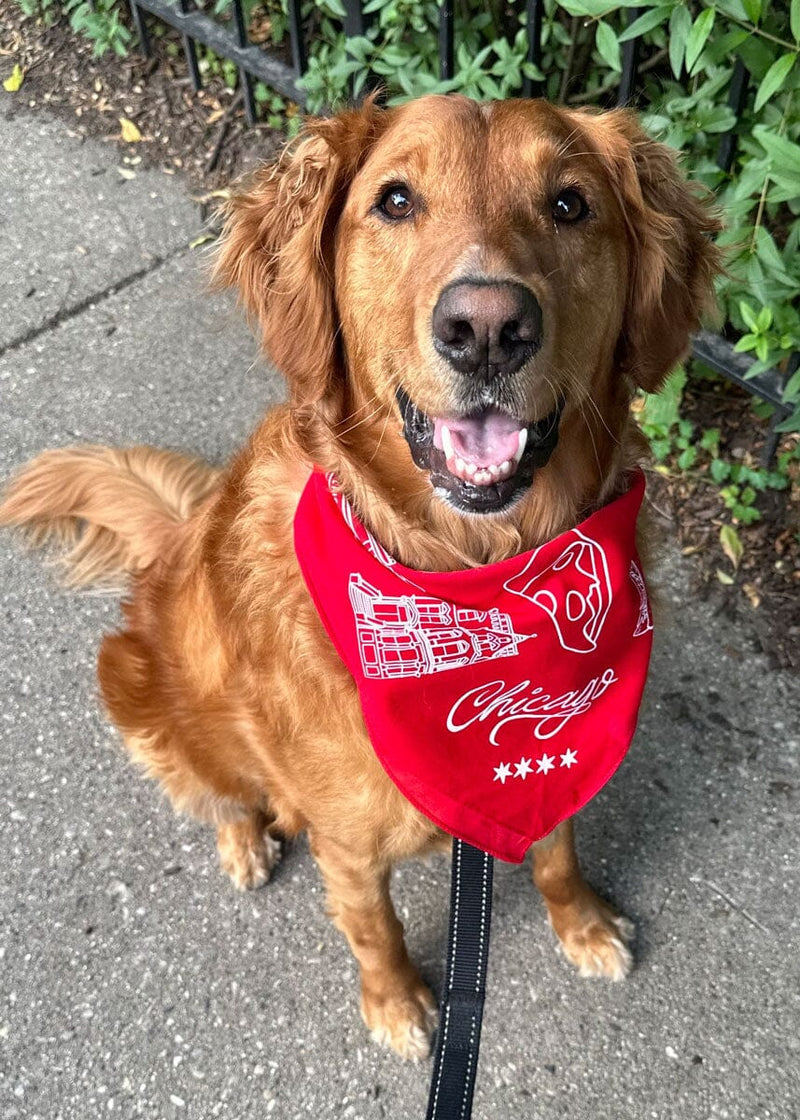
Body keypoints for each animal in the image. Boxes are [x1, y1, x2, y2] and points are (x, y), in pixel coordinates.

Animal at [0, 94, 721, 1057]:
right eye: (396, 201)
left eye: (570, 205)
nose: (486, 328)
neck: (472, 571)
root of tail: (179, 532)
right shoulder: (347, 841)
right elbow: (373, 924)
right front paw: (397, 1003)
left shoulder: (552, 756)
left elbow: (558, 850)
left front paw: (582, 923)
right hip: (138, 695)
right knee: (221, 791)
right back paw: (245, 839)